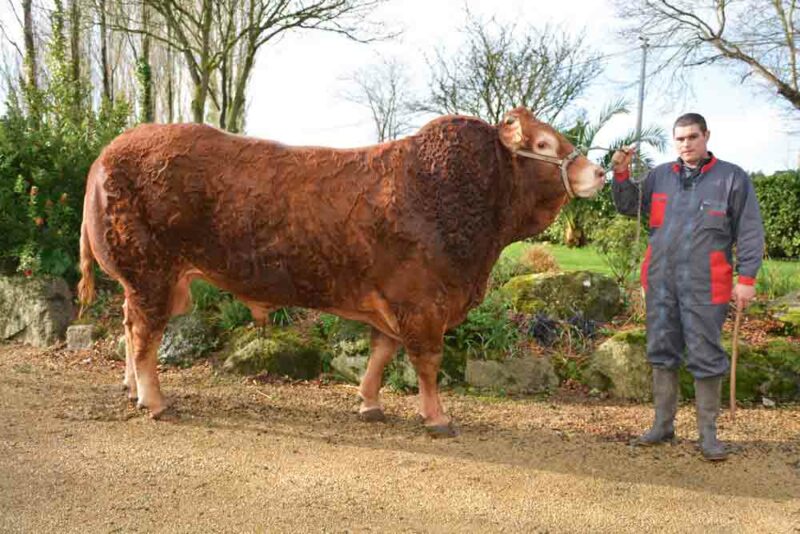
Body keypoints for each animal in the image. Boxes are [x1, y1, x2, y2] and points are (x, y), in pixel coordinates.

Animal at [78, 107, 604, 438]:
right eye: (543, 142)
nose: (599, 172)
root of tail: (108, 152)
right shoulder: (422, 302)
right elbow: (426, 363)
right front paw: (436, 418)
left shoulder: (394, 301)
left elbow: (381, 353)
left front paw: (370, 403)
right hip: (152, 274)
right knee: (145, 335)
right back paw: (154, 400)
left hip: (143, 280)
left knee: (130, 327)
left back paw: (131, 389)